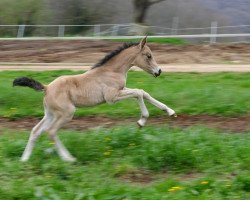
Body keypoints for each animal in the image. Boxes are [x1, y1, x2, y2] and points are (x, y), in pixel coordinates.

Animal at [13, 36, 176, 162]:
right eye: (148, 55)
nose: (159, 71)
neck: (112, 71)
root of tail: (46, 88)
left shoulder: (121, 90)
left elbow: (143, 92)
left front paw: (170, 111)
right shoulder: (112, 97)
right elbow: (138, 93)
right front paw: (142, 120)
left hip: (50, 114)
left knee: (36, 131)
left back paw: (24, 159)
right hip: (66, 113)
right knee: (51, 131)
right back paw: (68, 158)